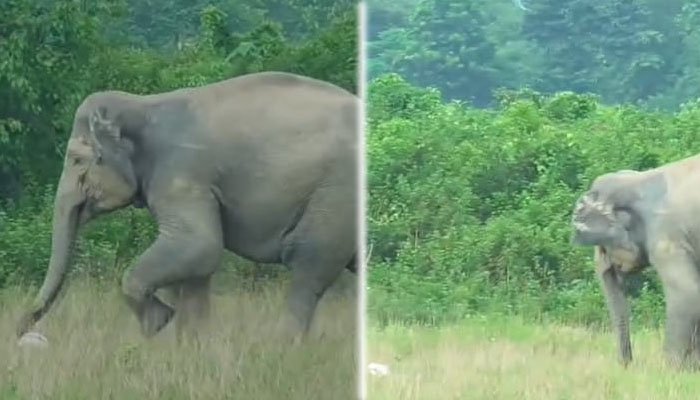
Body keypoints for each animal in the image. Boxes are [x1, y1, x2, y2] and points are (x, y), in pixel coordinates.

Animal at [16, 71, 359, 343]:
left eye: (76, 160)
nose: (21, 330)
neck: (143, 105)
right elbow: (198, 266)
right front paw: (191, 348)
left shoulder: (182, 174)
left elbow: (199, 245)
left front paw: (159, 321)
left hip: (336, 198)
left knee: (307, 264)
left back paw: (281, 349)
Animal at [571, 157, 700, 368]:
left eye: (602, 248)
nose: (627, 365)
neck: (637, 180)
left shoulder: (666, 238)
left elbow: (687, 292)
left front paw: (670, 369)